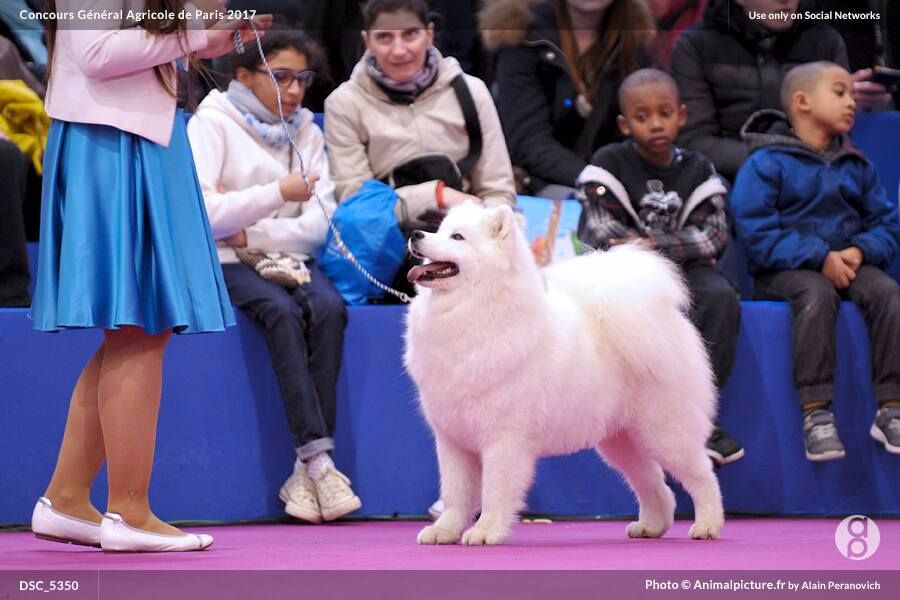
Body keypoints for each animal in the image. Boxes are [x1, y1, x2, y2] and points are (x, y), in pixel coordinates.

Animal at [404, 204, 728, 548]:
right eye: (439, 230)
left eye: (457, 237)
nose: (415, 234)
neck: (473, 311)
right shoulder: (452, 439)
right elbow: (456, 493)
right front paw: (445, 531)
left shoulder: (504, 439)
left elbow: (494, 490)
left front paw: (485, 531)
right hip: (622, 442)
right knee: (654, 484)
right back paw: (651, 526)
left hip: (666, 432)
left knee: (702, 476)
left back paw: (707, 525)